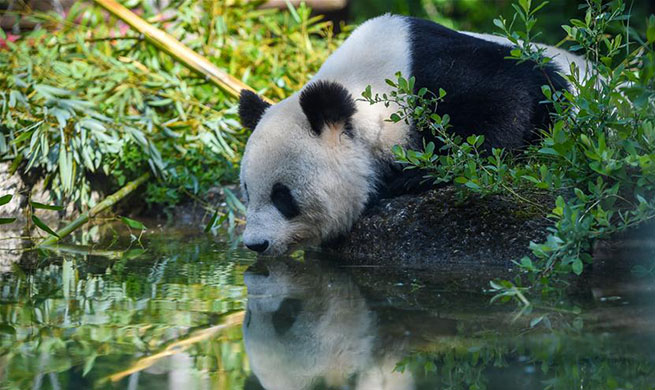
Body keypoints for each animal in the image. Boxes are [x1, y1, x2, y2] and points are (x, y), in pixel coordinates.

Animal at [238, 13, 588, 256]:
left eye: (283, 196)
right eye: (247, 192)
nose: (256, 244)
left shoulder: (438, 76)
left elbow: (511, 103)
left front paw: (410, 177)